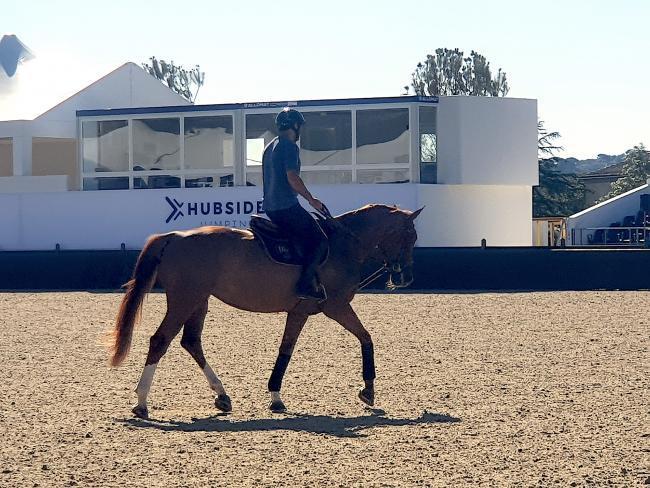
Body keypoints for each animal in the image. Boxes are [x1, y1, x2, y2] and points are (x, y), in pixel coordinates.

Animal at [109, 204, 423, 418]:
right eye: (409, 236)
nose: (407, 278)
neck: (342, 245)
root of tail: (173, 236)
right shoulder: (336, 307)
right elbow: (366, 337)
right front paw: (368, 390)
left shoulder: (299, 312)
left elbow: (286, 349)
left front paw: (275, 396)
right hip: (185, 299)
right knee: (160, 340)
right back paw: (142, 402)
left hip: (199, 300)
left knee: (191, 342)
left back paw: (222, 395)